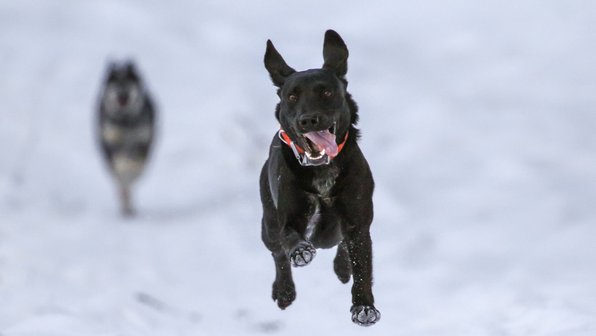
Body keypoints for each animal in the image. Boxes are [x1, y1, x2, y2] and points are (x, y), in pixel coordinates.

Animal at [96, 60, 156, 217]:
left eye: (128, 82)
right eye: (115, 83)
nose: (122, 93)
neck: (125, 120)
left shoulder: (143, 140)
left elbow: (136, 164)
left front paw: (131, 168)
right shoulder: (112, 140)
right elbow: (121, 165)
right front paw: (124, 168)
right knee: (121, 184)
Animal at [260, 30, 382, 326]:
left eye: (326, 91)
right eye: (292, 96)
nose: (308, 120)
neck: (321, 171)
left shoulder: (358, 220)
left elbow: (362, 265)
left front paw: (364, 307)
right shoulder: (287, 216)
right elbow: (290, 237)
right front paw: (301, 251)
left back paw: (342, 267)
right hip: (267, 224)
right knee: (277, 252)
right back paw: (284, 291)